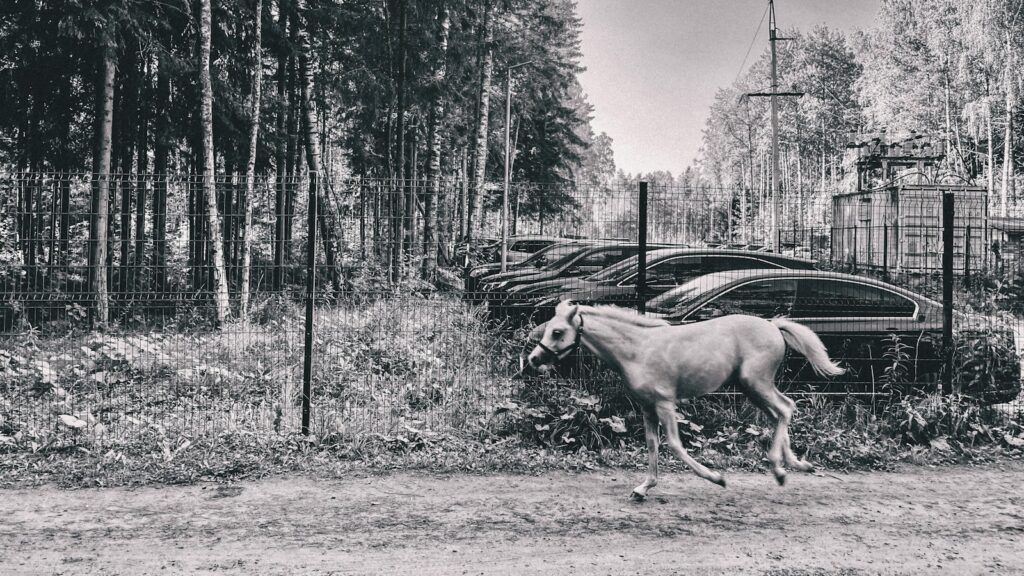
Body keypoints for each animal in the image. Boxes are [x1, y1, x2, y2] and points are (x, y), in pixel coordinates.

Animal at [526, 300, 845, 500]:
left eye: (557, 331)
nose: (533, 359)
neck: (637, 349)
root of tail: (773, 325)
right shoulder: (647, 406)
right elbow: (652, 444)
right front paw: (643, 488)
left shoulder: (665, 403)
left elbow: (676, 445)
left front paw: (717, 478)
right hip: (750, 387)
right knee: (779, 412)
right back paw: (797, 464)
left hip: (757, 382)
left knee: (784, 409)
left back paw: (779, 469)